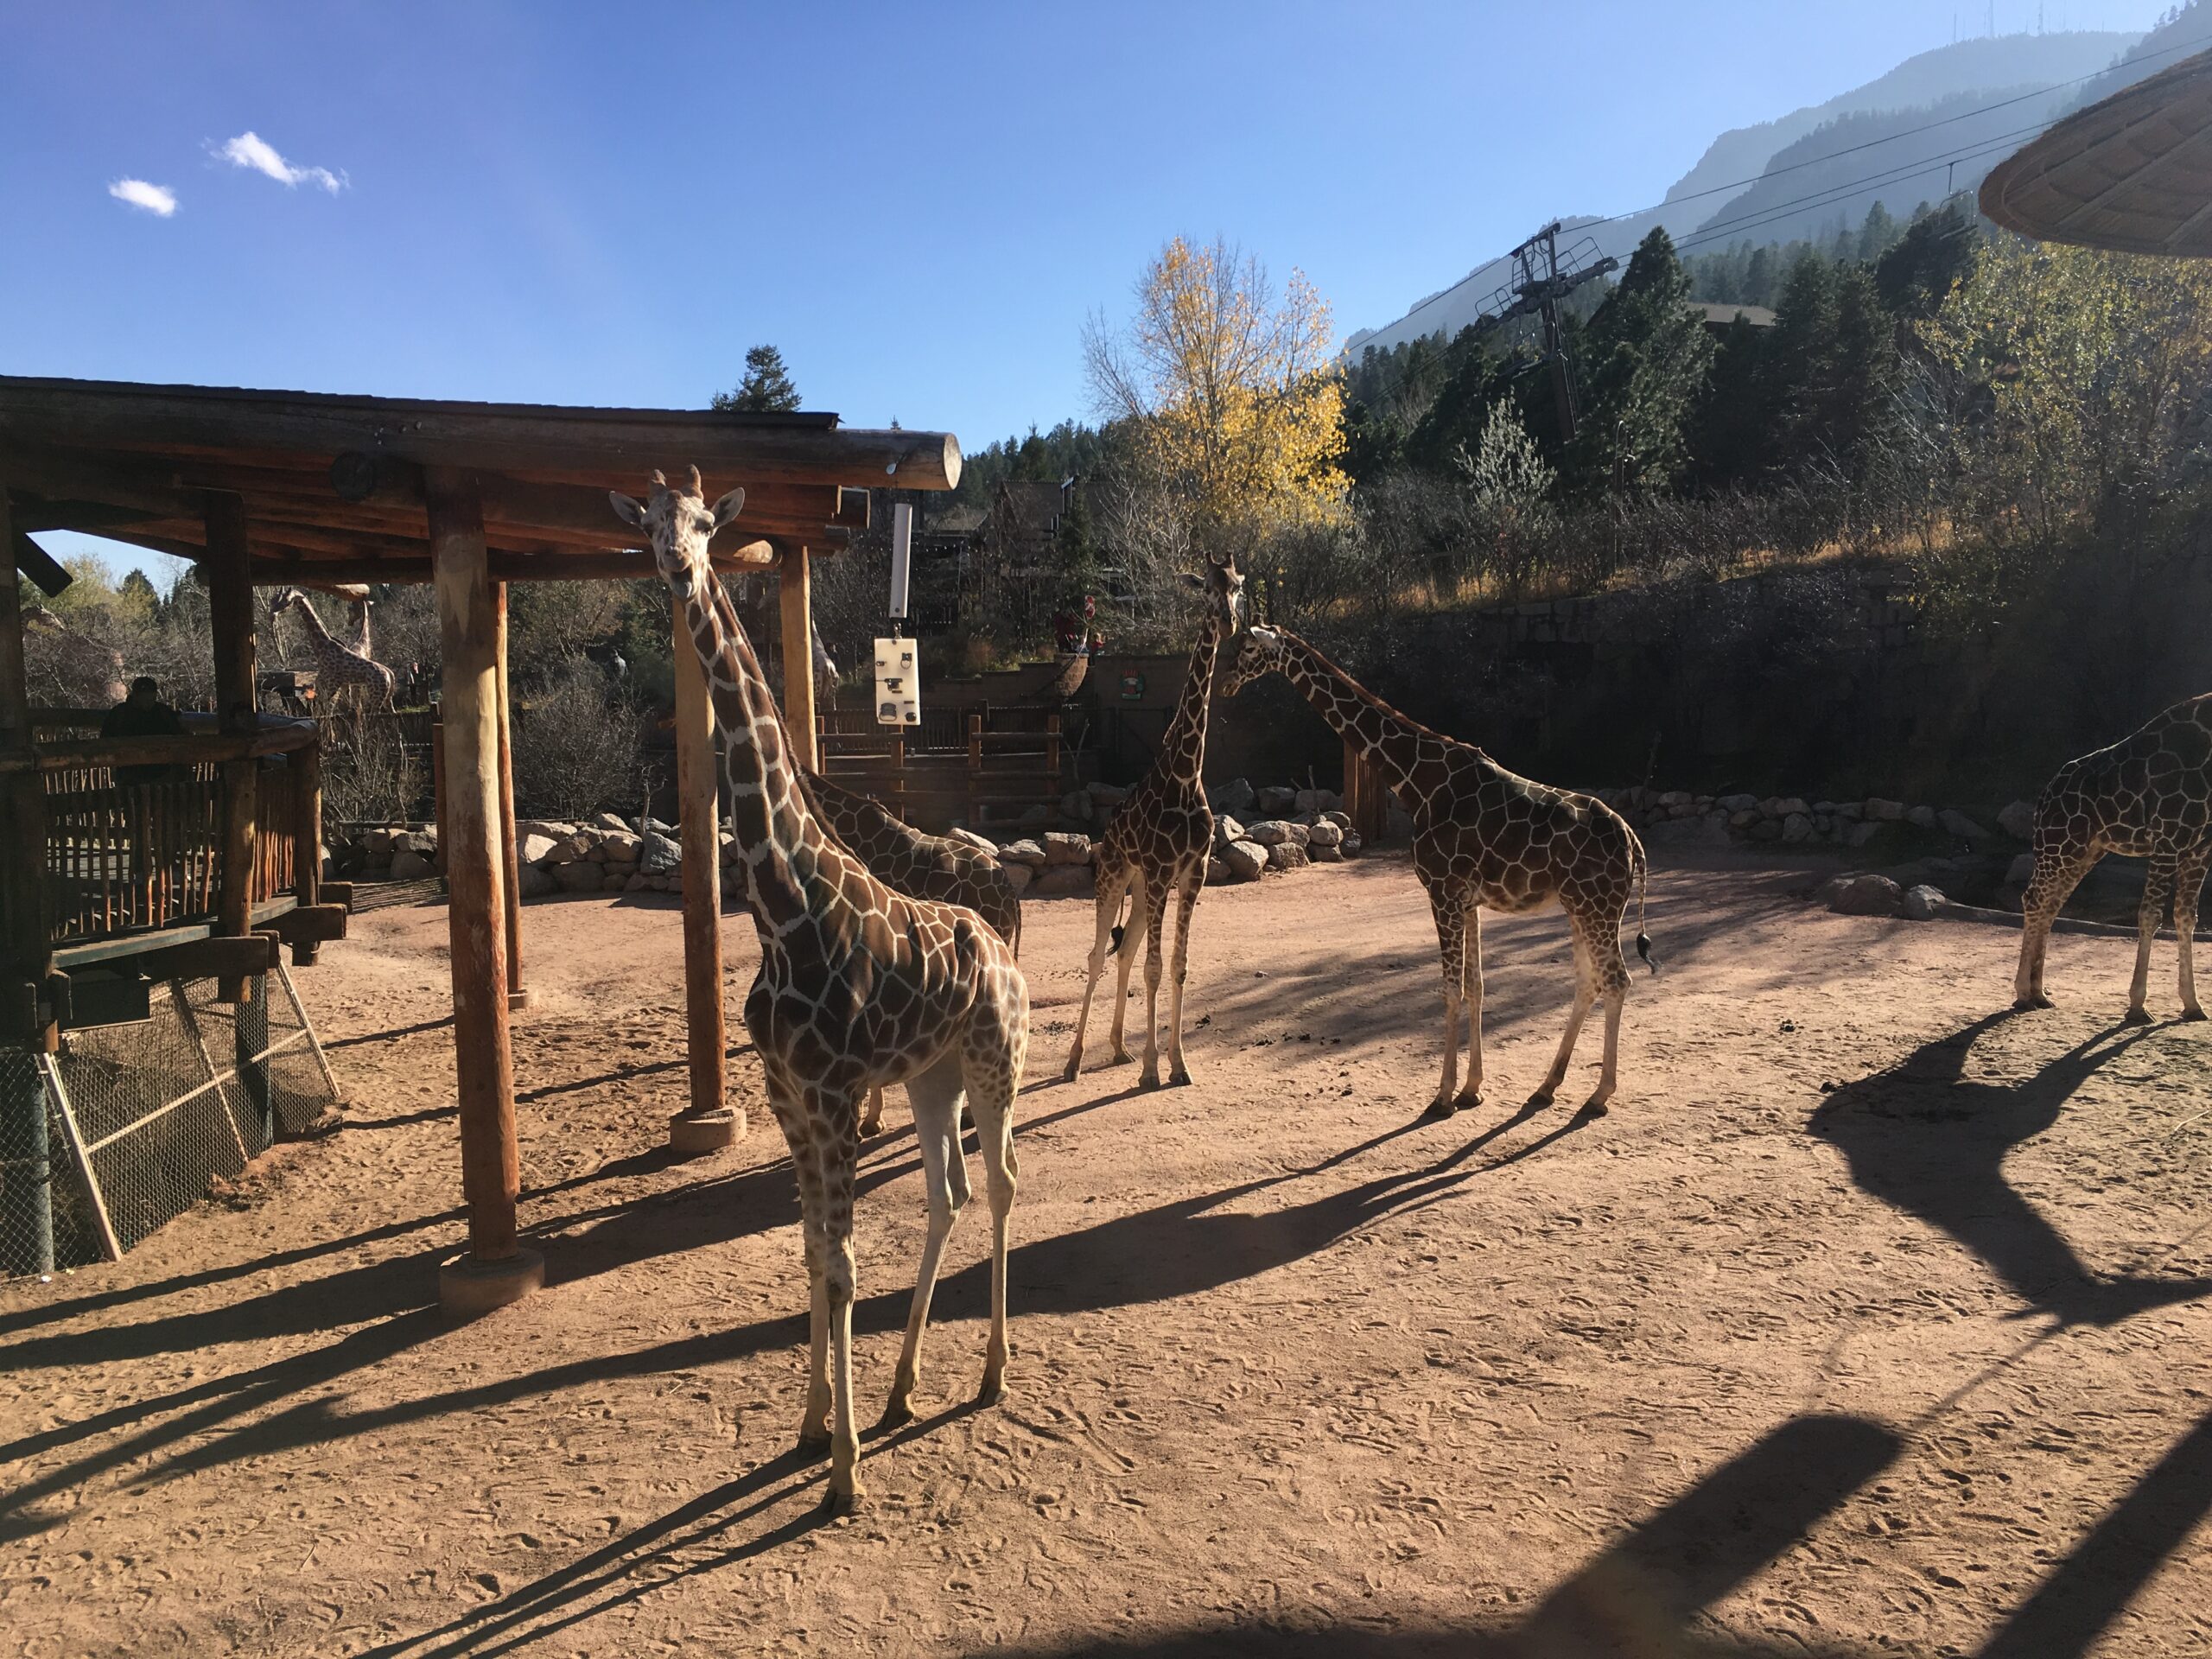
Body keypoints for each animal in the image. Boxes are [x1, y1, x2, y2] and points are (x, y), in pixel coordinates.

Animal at [1057, 553, 1247, 1092]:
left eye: (1238, 587)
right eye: (1206, 587)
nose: (1229, 621)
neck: (1185, 773)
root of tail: (1106, 834)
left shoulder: (1190, 875)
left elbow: (1177, 966)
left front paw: (1177, 1064)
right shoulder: (1164, 873)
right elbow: (1155, 968)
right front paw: (1151, 1068)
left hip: (1142, 889)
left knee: (1122, 952)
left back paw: (1119, 1048)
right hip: (1115, 877)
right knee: (1097, 955)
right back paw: (1075, 1059)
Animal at [1221, 628, 1654, 1123]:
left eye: (1248, 649)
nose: (1226, 682)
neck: (1418, 782)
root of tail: (1633, 843)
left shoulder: (1441, 891)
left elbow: (1450, 990)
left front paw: (1443, 1095)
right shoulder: (1469, 901)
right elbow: (1476, 987)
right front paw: (1472, 1089)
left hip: (1598, 907)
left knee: (1617, 981)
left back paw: (1599, 1095)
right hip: (1580, 907)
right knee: (1588, 982)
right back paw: (1546, 1088)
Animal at [2008, 690, 2212, 1026]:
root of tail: (2044, 796)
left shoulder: (2200, 849)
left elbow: (2186, 918)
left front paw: (2193, 1005)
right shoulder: (2168, 838)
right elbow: (2150, 915)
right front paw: (2137, 1006)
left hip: (2086, 850)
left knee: (2051, 904)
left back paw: (2040, 993)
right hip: (2059, 843)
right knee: (2035, 899)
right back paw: (2024, 994)